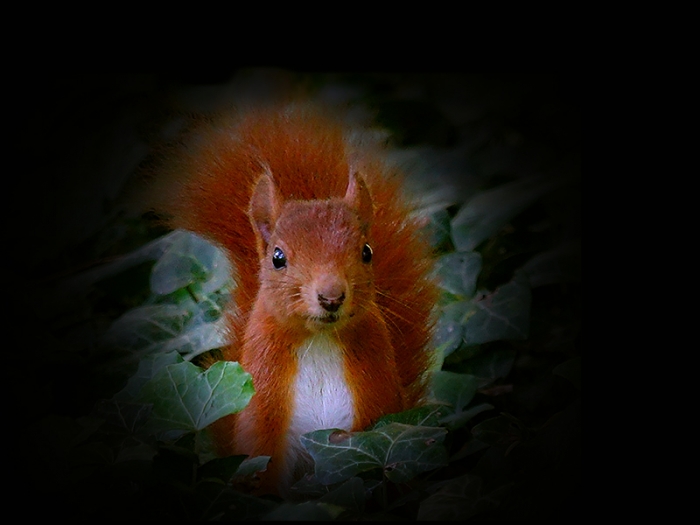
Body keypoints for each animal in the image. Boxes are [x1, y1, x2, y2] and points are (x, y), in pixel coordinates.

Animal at [149, 99, 439, 495]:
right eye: (277, 257)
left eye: (367, 252)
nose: (331, 296)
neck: (319, 339)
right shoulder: (263, 393)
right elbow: (264, 454)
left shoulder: (376, 392)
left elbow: (374, 430)